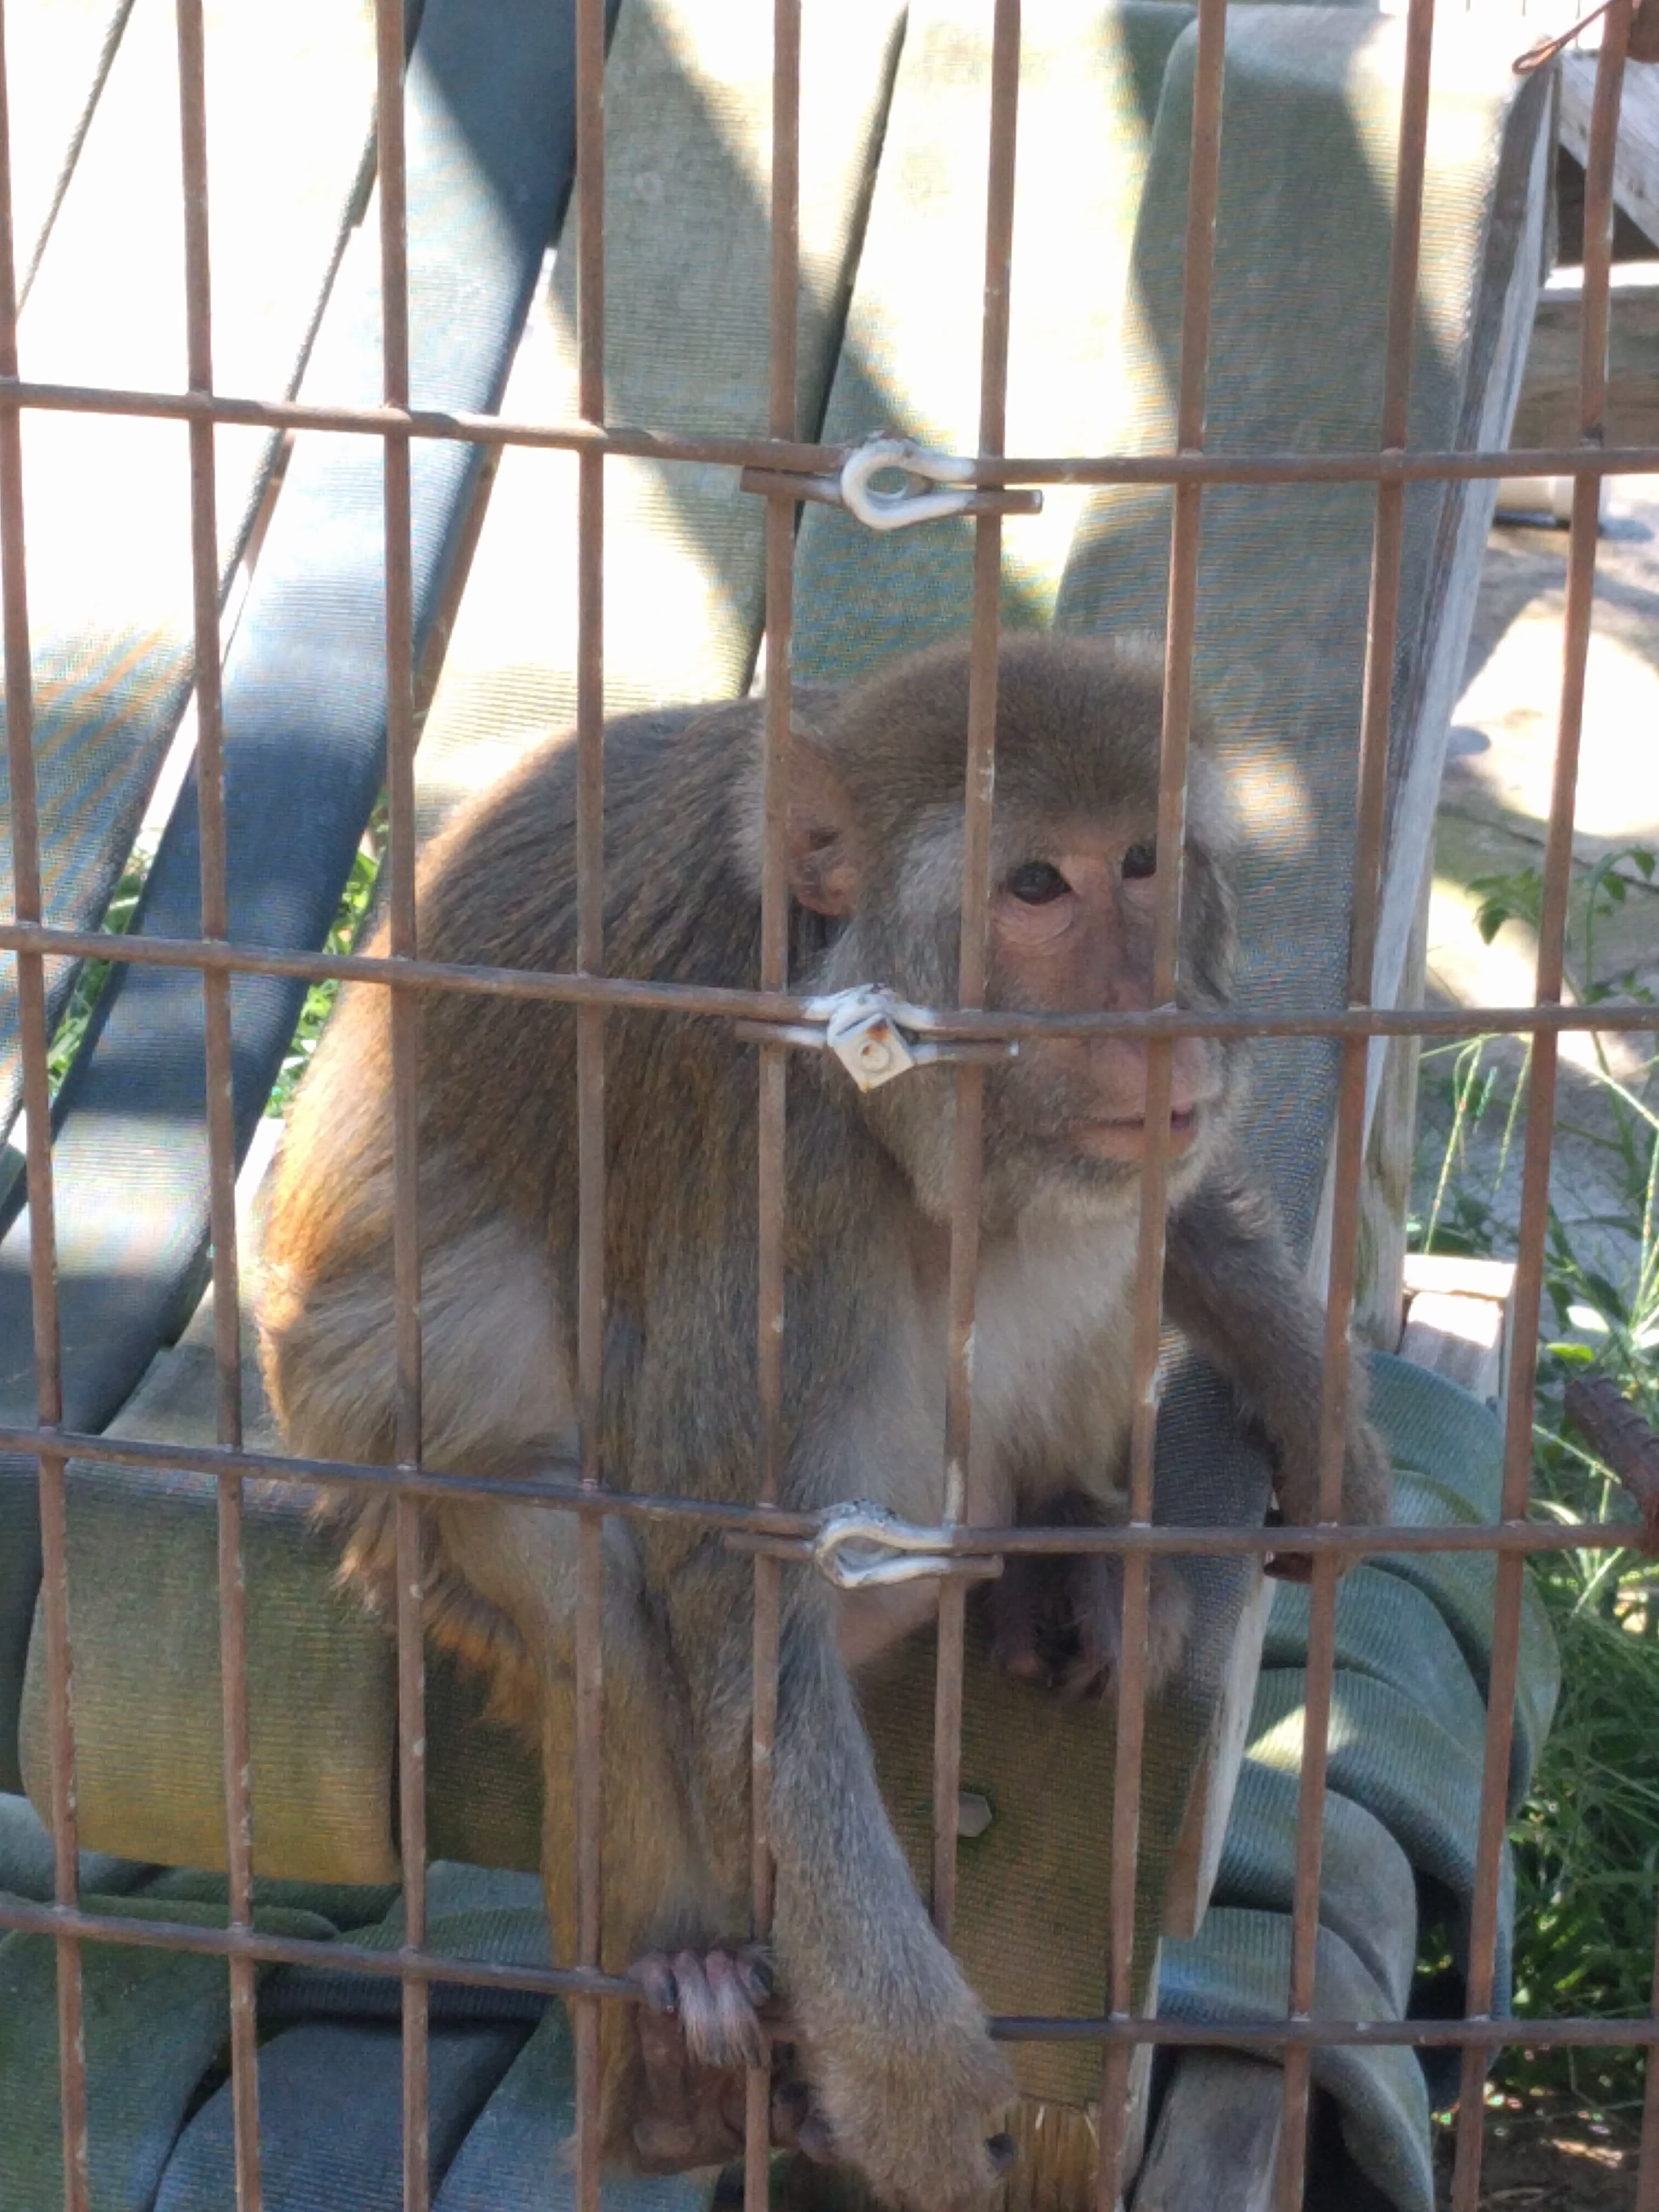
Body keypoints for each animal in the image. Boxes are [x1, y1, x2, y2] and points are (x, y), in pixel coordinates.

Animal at [259, 633, 1398, 2203]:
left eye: (1146, 861)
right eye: (1034, 886)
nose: (1155, 1027)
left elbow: (1170, 1218)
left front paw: (1304, 1389)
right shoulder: (770, 1153)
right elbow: (736, 1582)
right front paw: (909, 2073)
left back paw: (1057, 1553)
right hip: (399, 1513)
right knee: (590, 1573)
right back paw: (678, 2048)